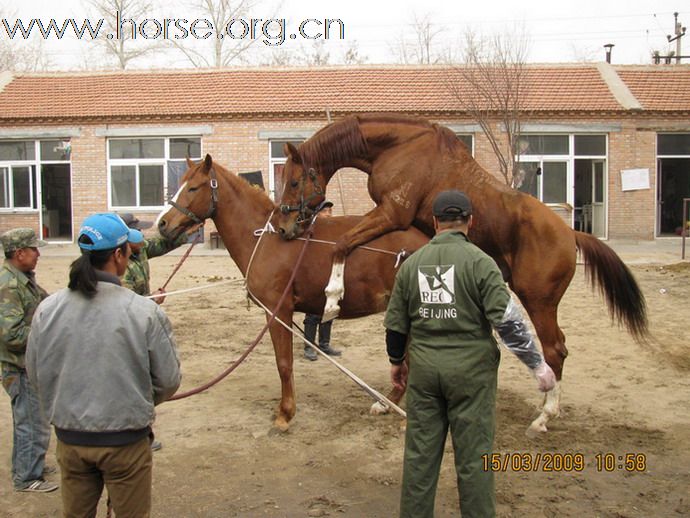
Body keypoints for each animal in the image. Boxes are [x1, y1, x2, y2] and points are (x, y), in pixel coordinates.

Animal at [157, 154, 428, 430]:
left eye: (193, 188)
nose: (163, 224)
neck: (266, 238)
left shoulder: (278, 311)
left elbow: (284, 363)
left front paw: (285, 414)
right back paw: (387, 404)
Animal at [274, 112, 644, 434]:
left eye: (293, 181)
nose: (283, 226)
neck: (398, 146)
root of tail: (571, 233)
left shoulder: (391, 213)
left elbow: (342, 244)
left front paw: (333, 297)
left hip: (539, 301)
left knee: (555, 351)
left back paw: (544, 417)